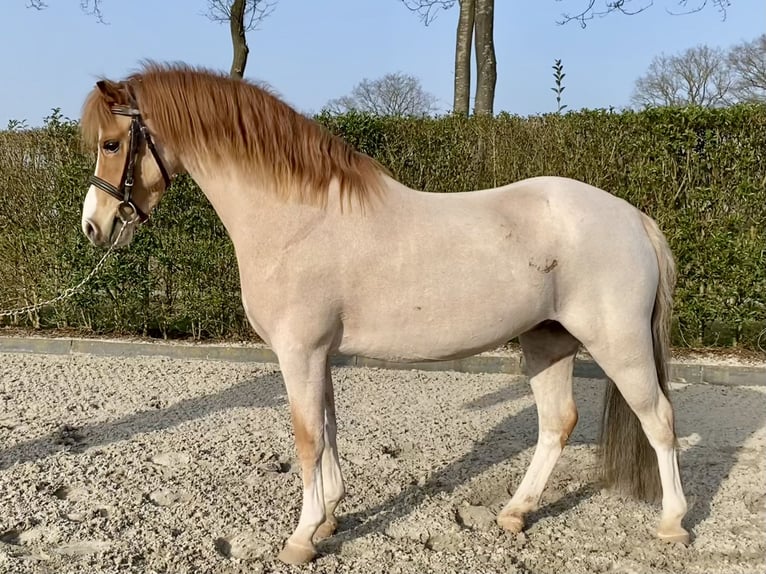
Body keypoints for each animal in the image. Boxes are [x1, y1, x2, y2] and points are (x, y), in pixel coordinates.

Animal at [79, 62, 689, 564]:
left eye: (112, 143)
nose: (94, 226)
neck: (298, 216)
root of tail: (633, 217)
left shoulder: (299, 353)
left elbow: (307, 438)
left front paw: (300, 539)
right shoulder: (319, 355)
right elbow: (327, 429)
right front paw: (328, 519)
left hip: (618, 344)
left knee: (658, 419)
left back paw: (673, 524)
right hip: (547, 340)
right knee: (557, 423)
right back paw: (515, 513)